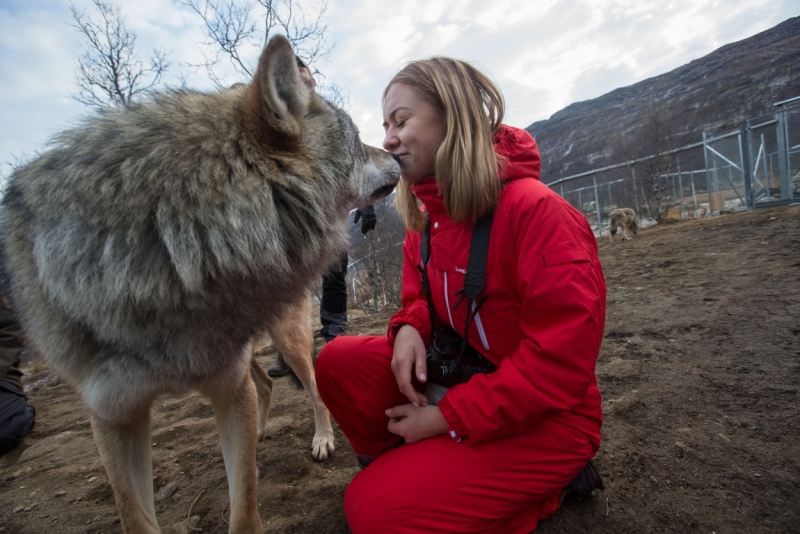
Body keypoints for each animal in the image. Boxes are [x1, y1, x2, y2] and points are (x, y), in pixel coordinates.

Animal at [0, 34, 400, 534]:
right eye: (358, 142)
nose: (396, 153)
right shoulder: (112, 417)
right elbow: (135, 515)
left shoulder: (228, 389)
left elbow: (243, 509)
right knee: (265, 387)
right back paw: (263, 431)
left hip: (286, 341)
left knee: (311, 389)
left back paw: (322, 439)